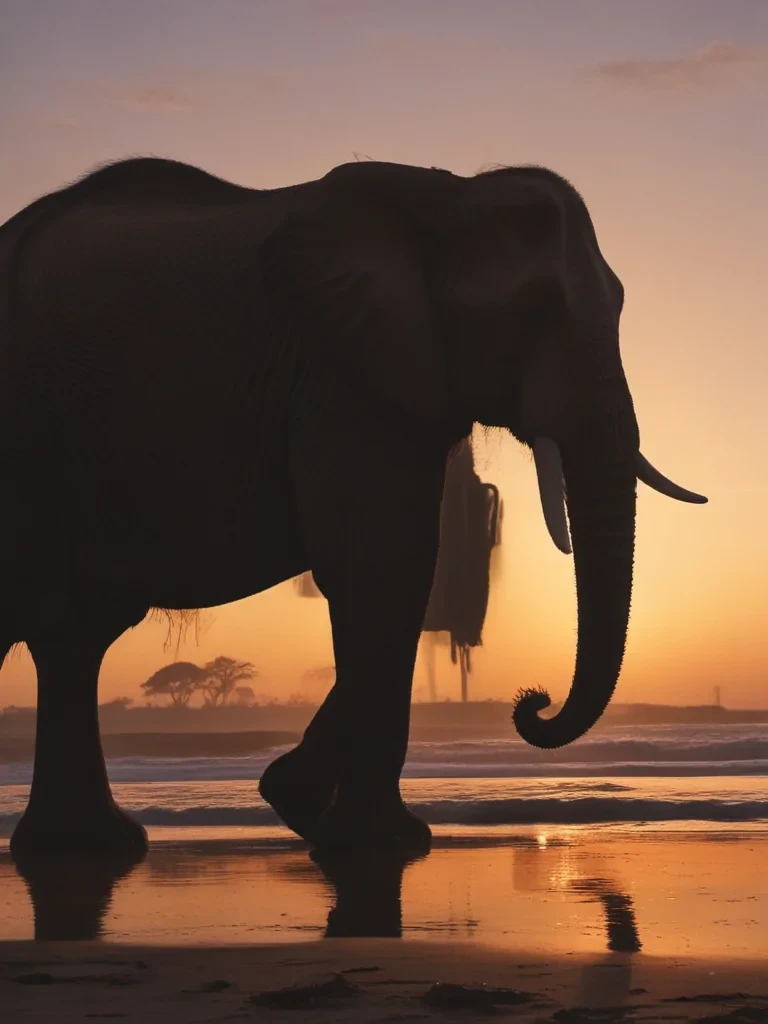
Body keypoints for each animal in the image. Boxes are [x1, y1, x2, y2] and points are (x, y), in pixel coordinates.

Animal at [0, 155, 707, 857]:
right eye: (534, 309)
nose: (533, 702)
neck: (445, 197)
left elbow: (405, 573)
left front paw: (298, 799)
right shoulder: (338, 374)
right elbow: (384, 566)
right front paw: (382, 843)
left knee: (76, 632)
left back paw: (89, 845)